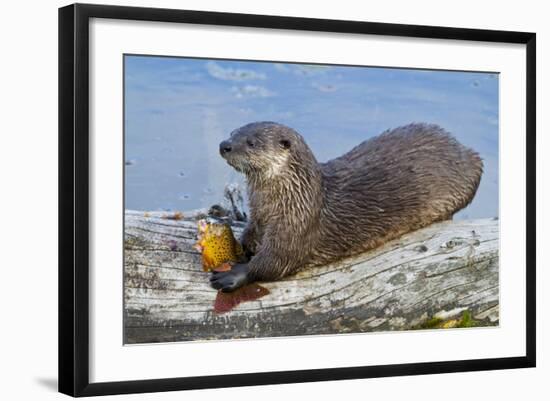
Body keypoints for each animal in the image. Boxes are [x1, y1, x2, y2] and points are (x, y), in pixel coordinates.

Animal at [211, 121, 484, 290]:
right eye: (233, 132)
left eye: (251, 142)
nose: (224, 144)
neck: (290, 197)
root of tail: (463, 148)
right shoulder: (258, 215)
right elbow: (249, 236)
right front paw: (236, 246)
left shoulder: (298, 225)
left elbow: (275, 261)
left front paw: (233, 274)